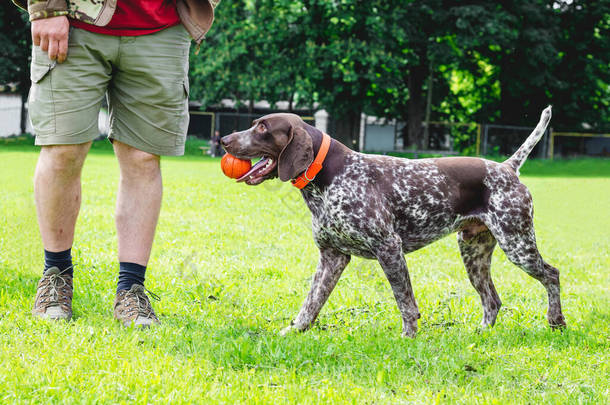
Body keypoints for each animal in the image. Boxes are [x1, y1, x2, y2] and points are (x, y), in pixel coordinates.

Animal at [220, 105, 564, 336]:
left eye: (263, 128)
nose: (223, 139)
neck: (327, 179)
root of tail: (507, 168)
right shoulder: (332, 257)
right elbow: (311, 302)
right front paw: (294, 331)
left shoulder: (389, 248)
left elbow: (405, 302)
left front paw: (409, 338)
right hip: (474, 254)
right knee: (492, 300)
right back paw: (481, 333)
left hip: (517, 245)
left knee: (552, 275)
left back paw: (556, 321)